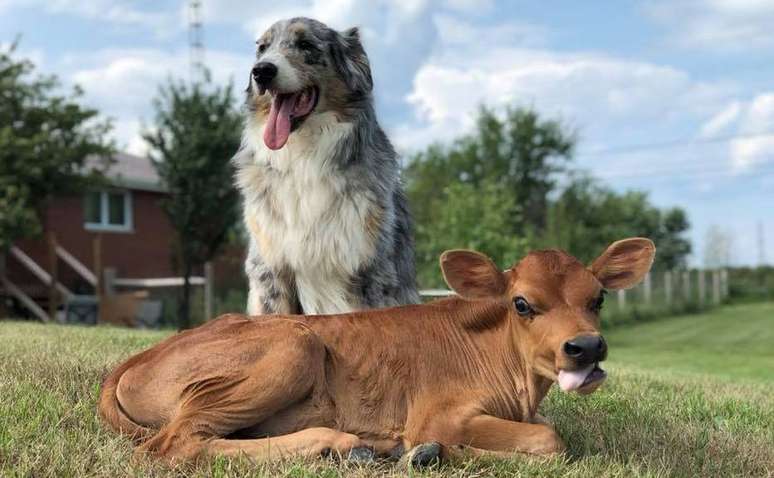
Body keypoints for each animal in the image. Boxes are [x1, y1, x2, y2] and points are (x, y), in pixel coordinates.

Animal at [97, 238, 656, 464]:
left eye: (598, 298)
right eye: (522, 303)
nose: (586, 346)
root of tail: (133, 360)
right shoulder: (437, 414)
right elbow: (551, 439)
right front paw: (433, 452)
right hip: (294, 343)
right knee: (176, 444)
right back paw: (341, 444)